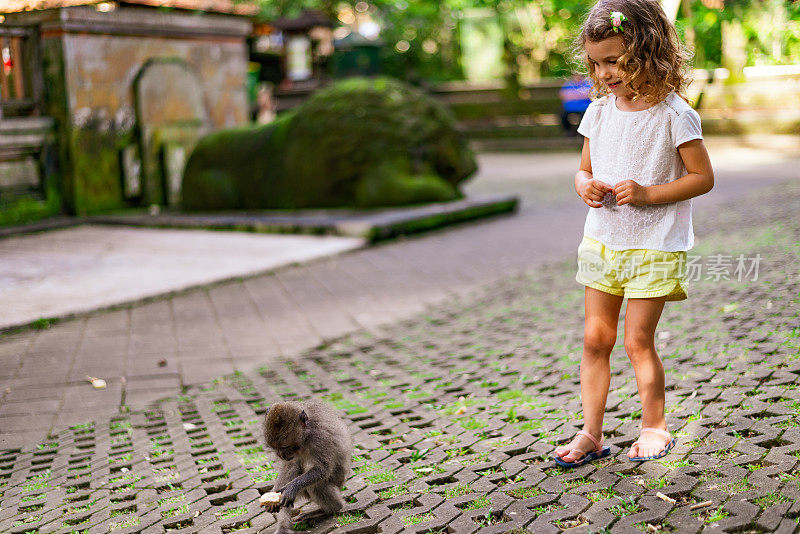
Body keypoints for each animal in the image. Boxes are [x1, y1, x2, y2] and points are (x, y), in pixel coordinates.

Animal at [264, 402, 352, 532]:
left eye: (285, 447)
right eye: (276, 448)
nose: (281, 455)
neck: (305, 437)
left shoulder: (320, 437)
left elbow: (322, 469)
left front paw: (291, 487)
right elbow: (291, 465)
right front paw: (275, 492)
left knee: (316, 486)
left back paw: (332, 508)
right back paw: (283, 528)